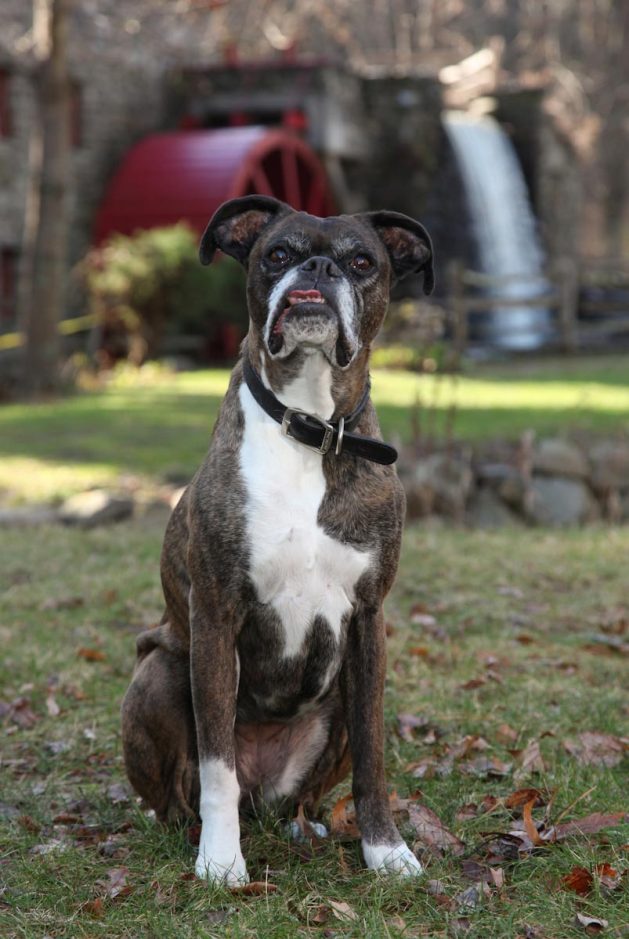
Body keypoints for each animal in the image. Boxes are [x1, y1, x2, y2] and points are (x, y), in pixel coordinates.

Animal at [121, 195, 434, 884]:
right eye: (279, 253)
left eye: (362, 262)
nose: (317, 267)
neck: (309, 429)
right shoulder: (215, 615)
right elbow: (216, 763)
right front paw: (220, 861)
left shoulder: (368, 621)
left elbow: (373, 753)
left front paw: (385, 849)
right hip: (162, 669)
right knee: (184, 796)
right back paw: (193, 834)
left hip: (335, 696)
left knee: (303, 794)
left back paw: (305, 825)